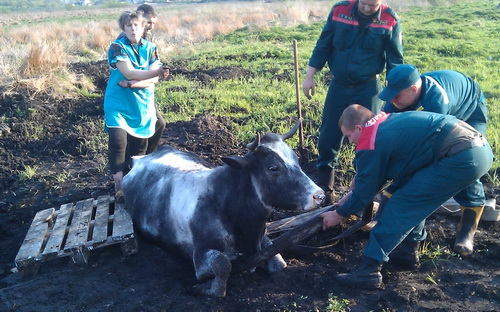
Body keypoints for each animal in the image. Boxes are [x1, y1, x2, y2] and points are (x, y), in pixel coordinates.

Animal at [122, 120, 322, 296]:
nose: (319, 195)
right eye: (273, 168)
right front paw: (206, 288)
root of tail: (140, 159)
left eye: (297, 159)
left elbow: (279, 261)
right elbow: (223, 264)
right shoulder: (199, 255)